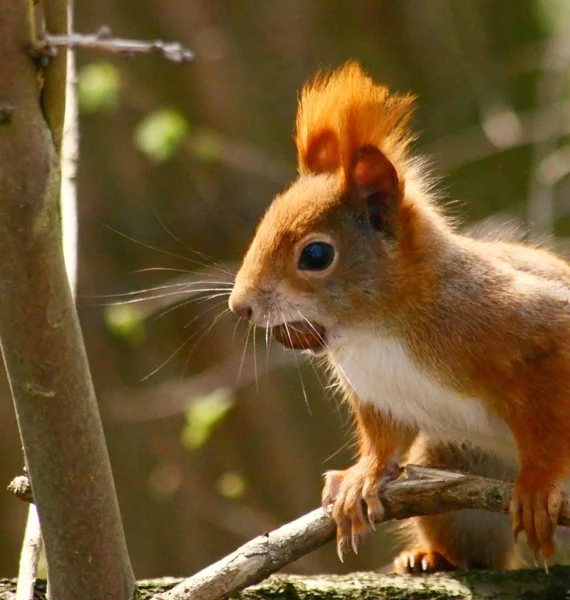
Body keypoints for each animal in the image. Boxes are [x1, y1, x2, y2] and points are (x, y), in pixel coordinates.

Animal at [226, 62, 568, 572]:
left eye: (316, 255)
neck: (377, 332)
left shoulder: (527, 326)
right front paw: (360, 480)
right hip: (455, 467)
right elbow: (382, 441)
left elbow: (547, 427)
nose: (240, 306)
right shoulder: (379, 397)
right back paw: (430, 558)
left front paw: (537, 483)